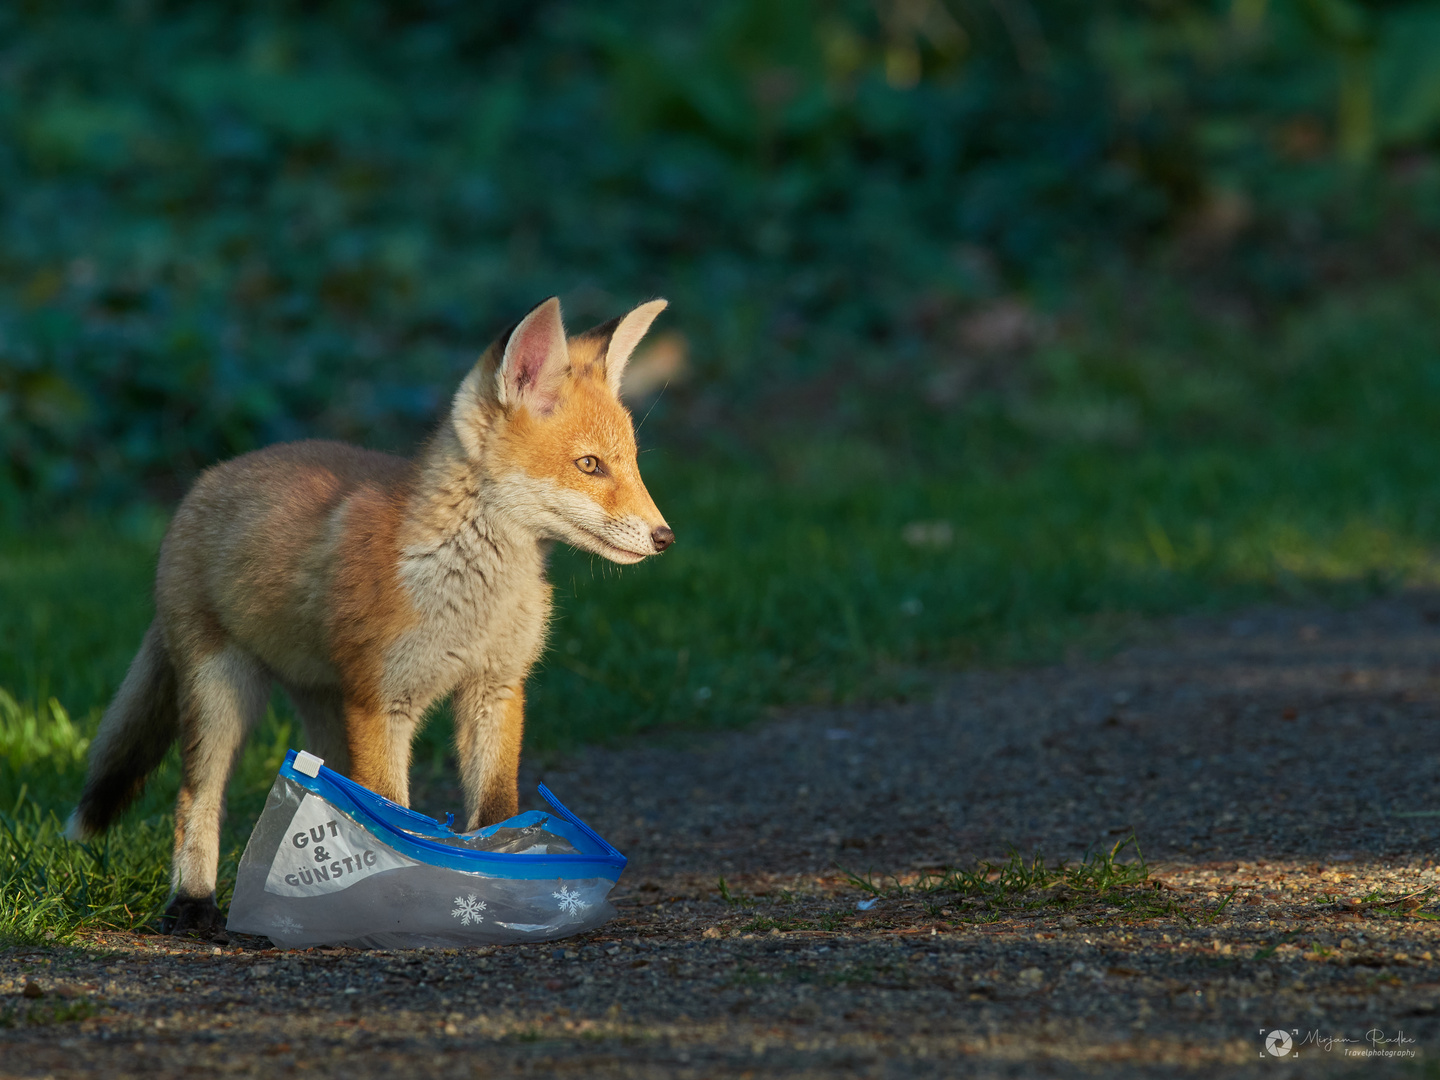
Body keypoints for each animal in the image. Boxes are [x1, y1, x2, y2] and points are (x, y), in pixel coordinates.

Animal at [67, 296, 673, 938]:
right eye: (589, 465)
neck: (469, 599)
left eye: (632, 463)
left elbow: (493, 810)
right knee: (195, 800)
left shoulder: (496, 689)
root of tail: (205, 480)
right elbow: (393, 813)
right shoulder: (382, 702)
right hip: (222, 694)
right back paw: (192, 902)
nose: (665, 537)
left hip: (326, 708)